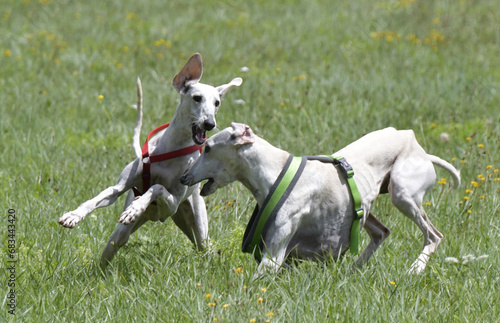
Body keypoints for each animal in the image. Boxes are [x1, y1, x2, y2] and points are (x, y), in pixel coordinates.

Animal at [58, 54, 242, 268]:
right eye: (197, 98)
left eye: (217, 103)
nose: (210, 123)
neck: (172, 148)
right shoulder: (119, 187)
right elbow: (99, 197)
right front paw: (73, 215)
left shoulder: (171, 204)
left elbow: (157, 187)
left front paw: (136, 207)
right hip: (123, 234)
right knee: (115, 242)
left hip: (195, 223)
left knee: (204, 245)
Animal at [180, 123, 460, 278]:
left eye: (207, 148)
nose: (183, 176)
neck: (275, 172)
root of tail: (417, 145)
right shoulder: (284, 259)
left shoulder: (273, 258)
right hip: (363, 209)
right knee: (382, 231)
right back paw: (353, 271)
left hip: (402, 193)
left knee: (434, 236)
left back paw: (415, 269)